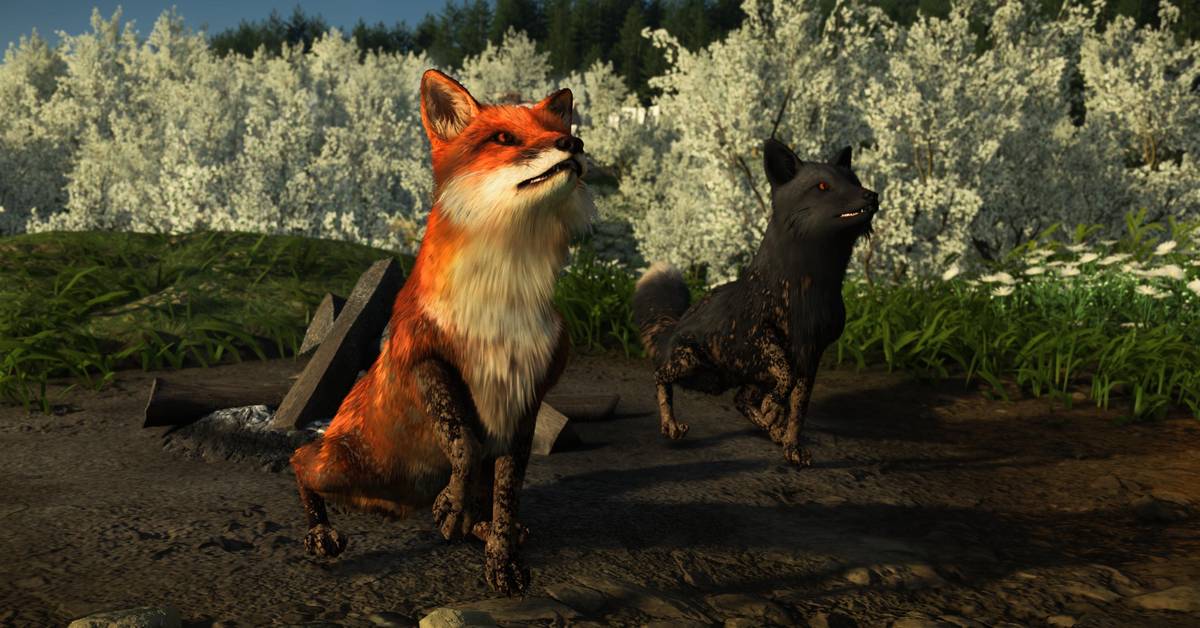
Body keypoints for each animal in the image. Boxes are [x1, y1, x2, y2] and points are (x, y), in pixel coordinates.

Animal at [288, 69, 593, 595]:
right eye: (504, 138)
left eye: (557, 129)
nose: (572, 144)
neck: (499, 302)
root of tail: (397, 503)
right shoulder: (420, 356)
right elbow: (463, 439)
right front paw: (458, 508)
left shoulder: (526, 393)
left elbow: (507, 492)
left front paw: (501, 561)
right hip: (340, 467)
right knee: (298, 459)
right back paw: (322, 531)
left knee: (480, 508)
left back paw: (477, 525)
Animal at [633, 138, 878, 466]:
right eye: (823, 186)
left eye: (855, 180)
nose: (872, 195)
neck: (806, 290)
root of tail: (675, 325)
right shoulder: (756, 337)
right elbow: (784, 373)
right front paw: (775, 410)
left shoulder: (811, 354)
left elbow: (798, 409)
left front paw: (790, 443)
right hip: (693, 364)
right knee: (660, 375)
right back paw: (670, 424)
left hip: (740, 377)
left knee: (740, 400)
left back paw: (772, 427)